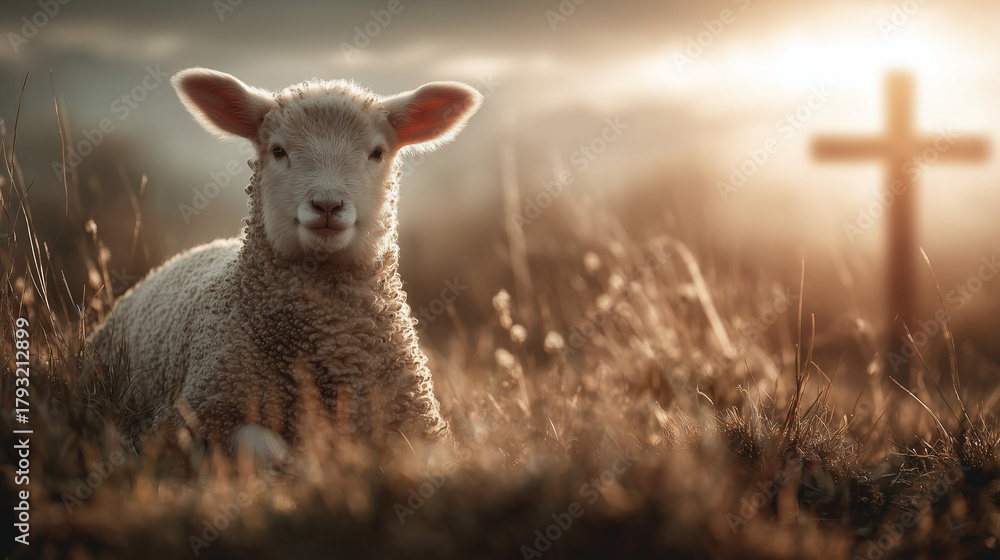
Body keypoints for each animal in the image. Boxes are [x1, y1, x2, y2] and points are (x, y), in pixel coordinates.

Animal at [90, 68, 482, 463]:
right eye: (278, 151)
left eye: (376, 152)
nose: (327, 205)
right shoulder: (193, 416)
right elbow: (266, 448)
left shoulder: (419, 421)